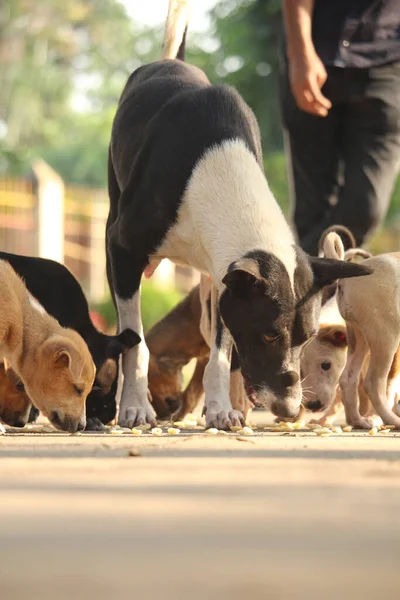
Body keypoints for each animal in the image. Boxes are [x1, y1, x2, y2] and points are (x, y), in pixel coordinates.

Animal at [107, 0, 372, 432]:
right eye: (268, 336)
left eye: (306, 338)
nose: (289, 410)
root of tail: (169, 62)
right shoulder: (122, 249)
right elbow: (135, 339)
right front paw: (134, 406)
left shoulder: (224, 280)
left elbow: (219, 352)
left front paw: (219, 409)